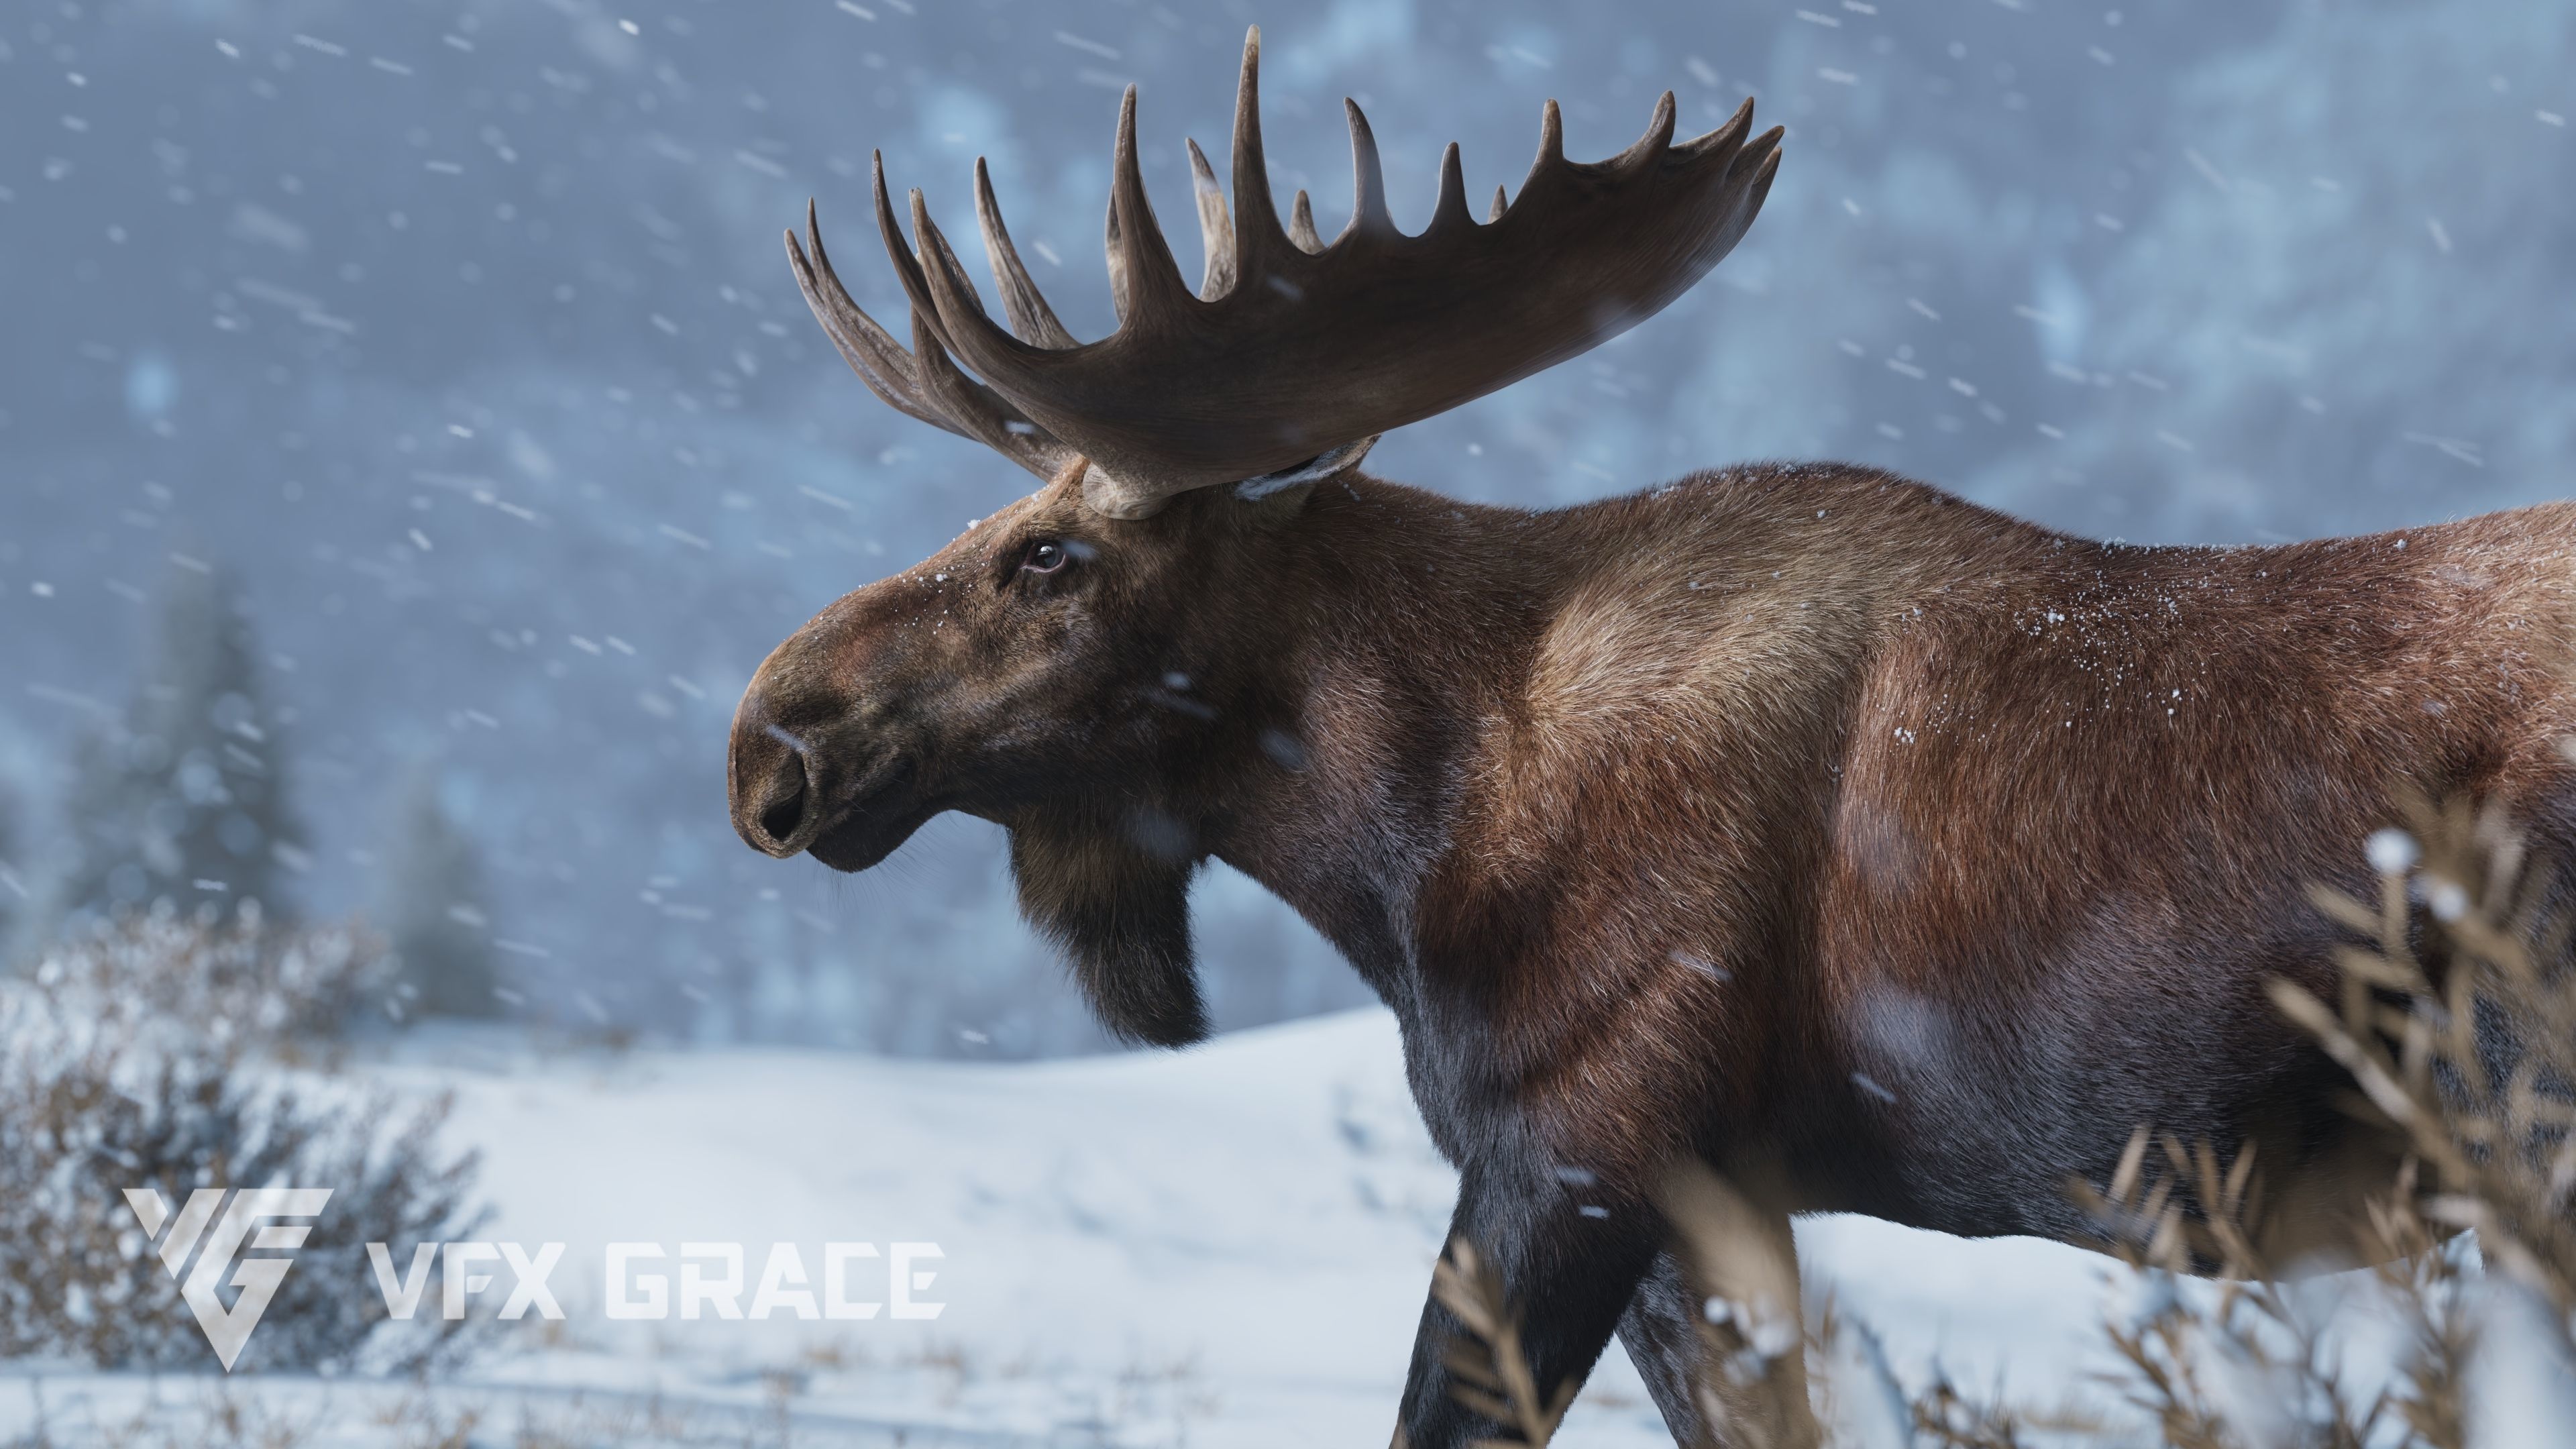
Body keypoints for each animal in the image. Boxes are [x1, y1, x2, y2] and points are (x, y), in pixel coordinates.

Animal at [727, 26, 2576, 1448]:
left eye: (1051, 554)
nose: (769, 743)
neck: (1409, 840)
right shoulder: (1717, 1195)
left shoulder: (1579, 1142)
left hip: (2520, 1107)